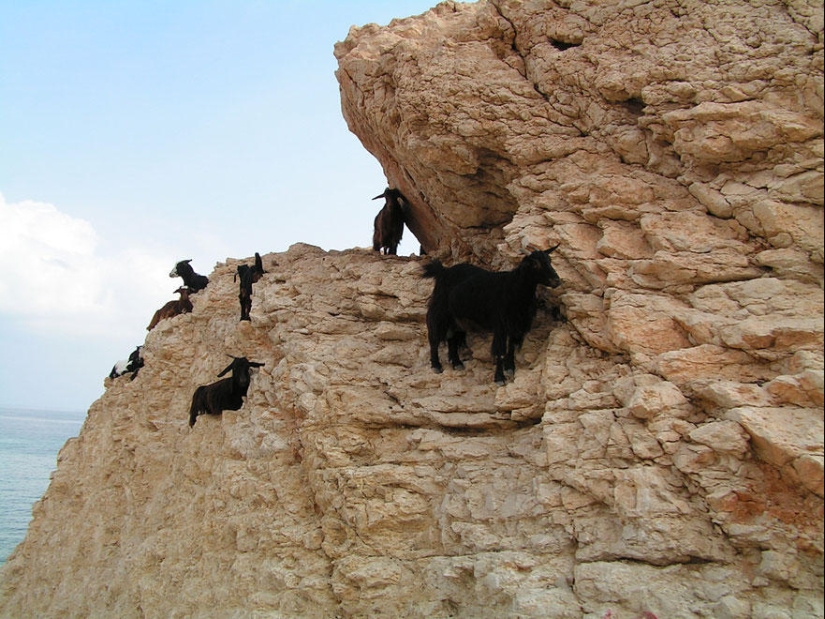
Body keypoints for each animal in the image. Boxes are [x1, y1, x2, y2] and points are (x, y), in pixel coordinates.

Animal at [422, 247, 561, 385]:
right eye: (535, 264)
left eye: (549, 260)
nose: (557, 281)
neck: (514, 288)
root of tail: (443, 271)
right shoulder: (501, 325)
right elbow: (500, 351)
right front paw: (500, 378)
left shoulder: (515, 325)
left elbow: (511, 346)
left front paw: (510, 368)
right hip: (439, 311)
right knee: (434, 337)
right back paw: (436, 365)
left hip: (456, 319)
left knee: (452, 337)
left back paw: (457, 363)